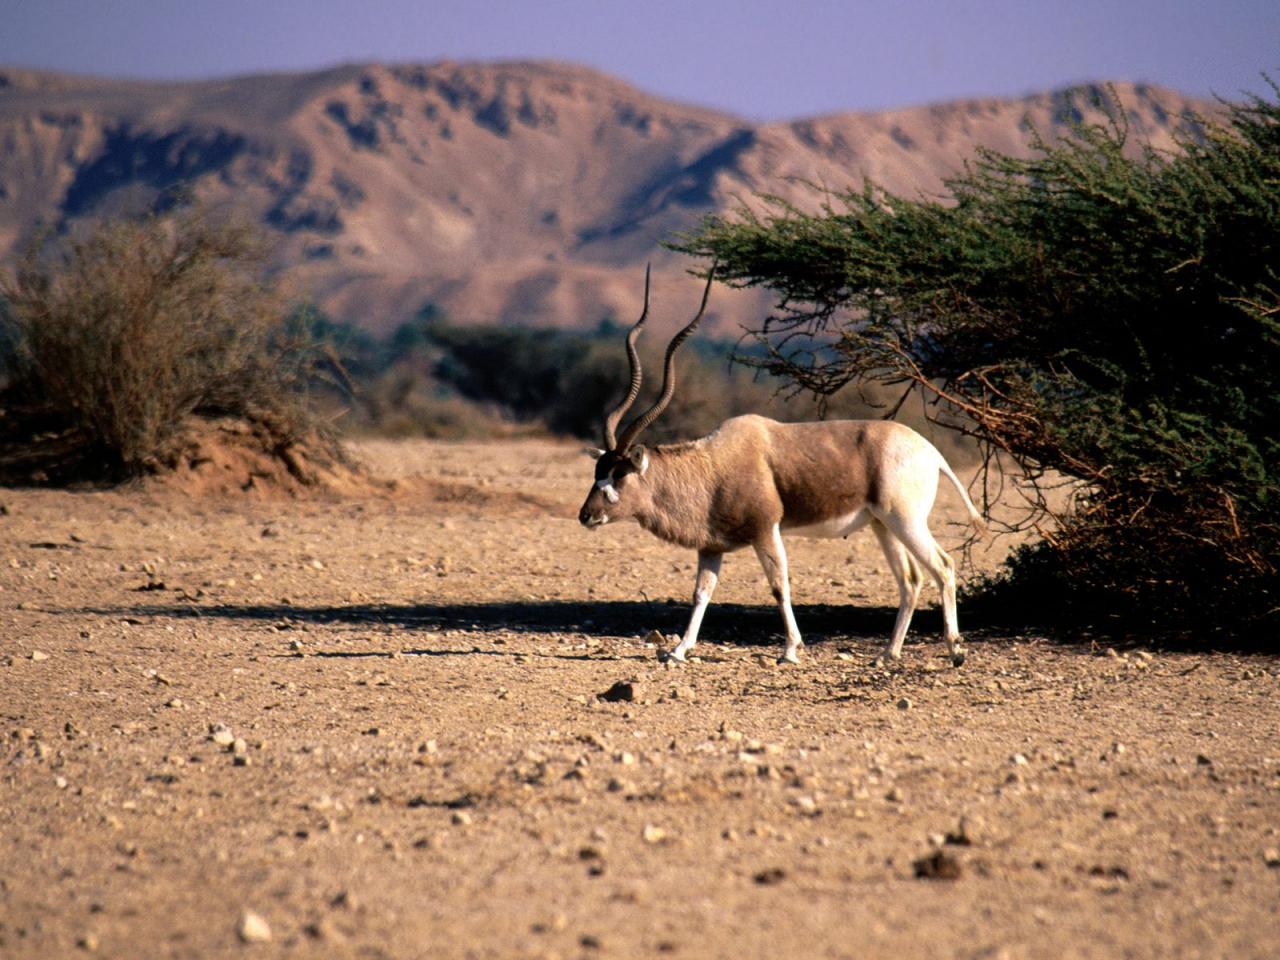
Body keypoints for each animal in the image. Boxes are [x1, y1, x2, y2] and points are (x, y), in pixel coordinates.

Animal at [581, 264, 988, 670]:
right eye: (598, 471)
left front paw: (791, 649)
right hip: (882, 525)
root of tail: (930, 451)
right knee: (910, 578)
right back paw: (888, 654)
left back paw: (955, 651)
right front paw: (680, 650)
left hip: (905, 520)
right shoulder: (711, 547)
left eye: (619, 473)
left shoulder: (766, 531)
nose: (586, 515)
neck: (712, 467)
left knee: (943, 566)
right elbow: (701, 593)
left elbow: (779, 586)